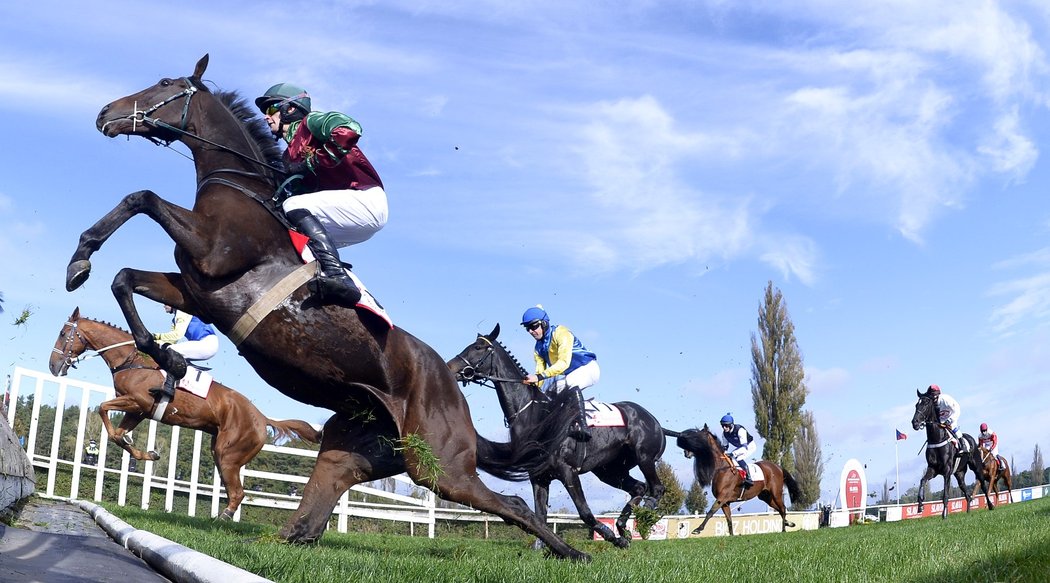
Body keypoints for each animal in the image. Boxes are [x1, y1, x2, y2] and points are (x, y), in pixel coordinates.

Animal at [49, 308, 319, 518]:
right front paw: (147, 453)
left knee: (238, 492)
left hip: (228, 454)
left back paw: (222, 519)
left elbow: (102, 408)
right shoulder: (138, 410)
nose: (53, 366)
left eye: (63, 334)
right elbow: (117, 434)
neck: (132, 360)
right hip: (219, 452)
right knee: (233, 490)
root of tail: (262, 418)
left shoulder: (137, 402)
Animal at [445, 325, 663, 550]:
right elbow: (540, 515)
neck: (534, 415)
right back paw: (622, 526)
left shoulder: (567, 470)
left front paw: (611, 536)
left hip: (644, 457)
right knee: (639, 487)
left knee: (656, 488)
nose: (449, 367)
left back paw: (644, 516)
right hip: (609, 470)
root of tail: (653, 420)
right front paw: (543, 546)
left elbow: (585, 513)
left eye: (478, 348)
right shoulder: (539, 476)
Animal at [663, 426, 802, 535]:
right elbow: (728, 519)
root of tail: (777, 467)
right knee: (779, 509)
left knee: (782, 508)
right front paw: (731, 535)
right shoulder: (726, 502)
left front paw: (698, 529)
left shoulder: (723, 496)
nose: (686, 452)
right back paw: (789, 523)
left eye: (698, 438)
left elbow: (711, 512)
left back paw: (784, 529)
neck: (721, 468)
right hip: (765, 496)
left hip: (776, 493)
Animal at [907, 390, 978, 518]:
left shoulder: (947, 471)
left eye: (925, 404)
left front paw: (944, 514)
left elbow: (945, 494)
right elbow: (922, 481)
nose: (915, 422)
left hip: (974, 465)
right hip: (959, 473)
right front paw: (920, 504)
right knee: (966, 492)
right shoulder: (933, 469)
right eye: (916, 405)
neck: (937, 439)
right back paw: (969, 510)